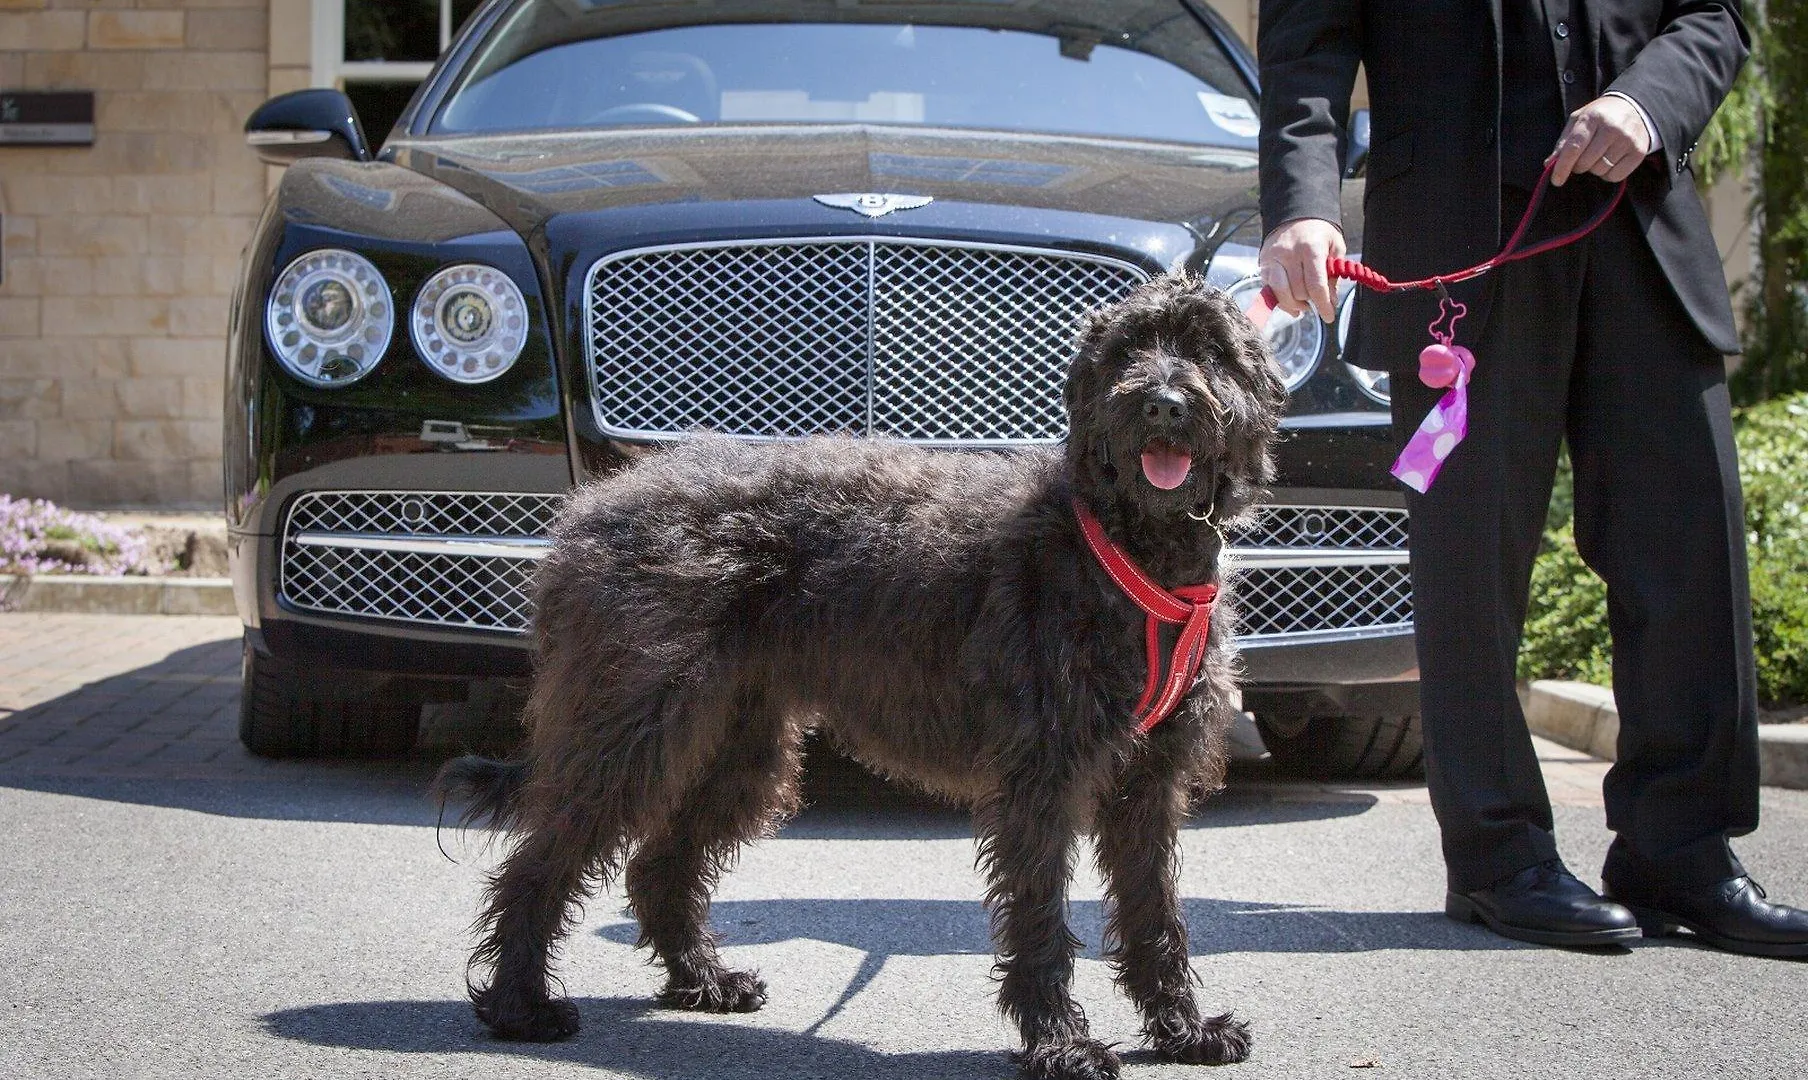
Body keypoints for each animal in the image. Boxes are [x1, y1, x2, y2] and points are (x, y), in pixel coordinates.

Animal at [435, 271, 1287, 1078]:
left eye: (1211, 352)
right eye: (1126, 352)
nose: (1164, 406)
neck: (1123, 545)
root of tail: (590, 509)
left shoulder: (1149, 782)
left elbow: (1155, 912)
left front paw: (1182, 1031)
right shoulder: (1043, 778)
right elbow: (1042, 915)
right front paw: (1060, 1046)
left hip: (739, 744)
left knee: (658, 865)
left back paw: (702, 982)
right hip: (629, 724)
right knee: (542, 862)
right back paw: (520, 1005)